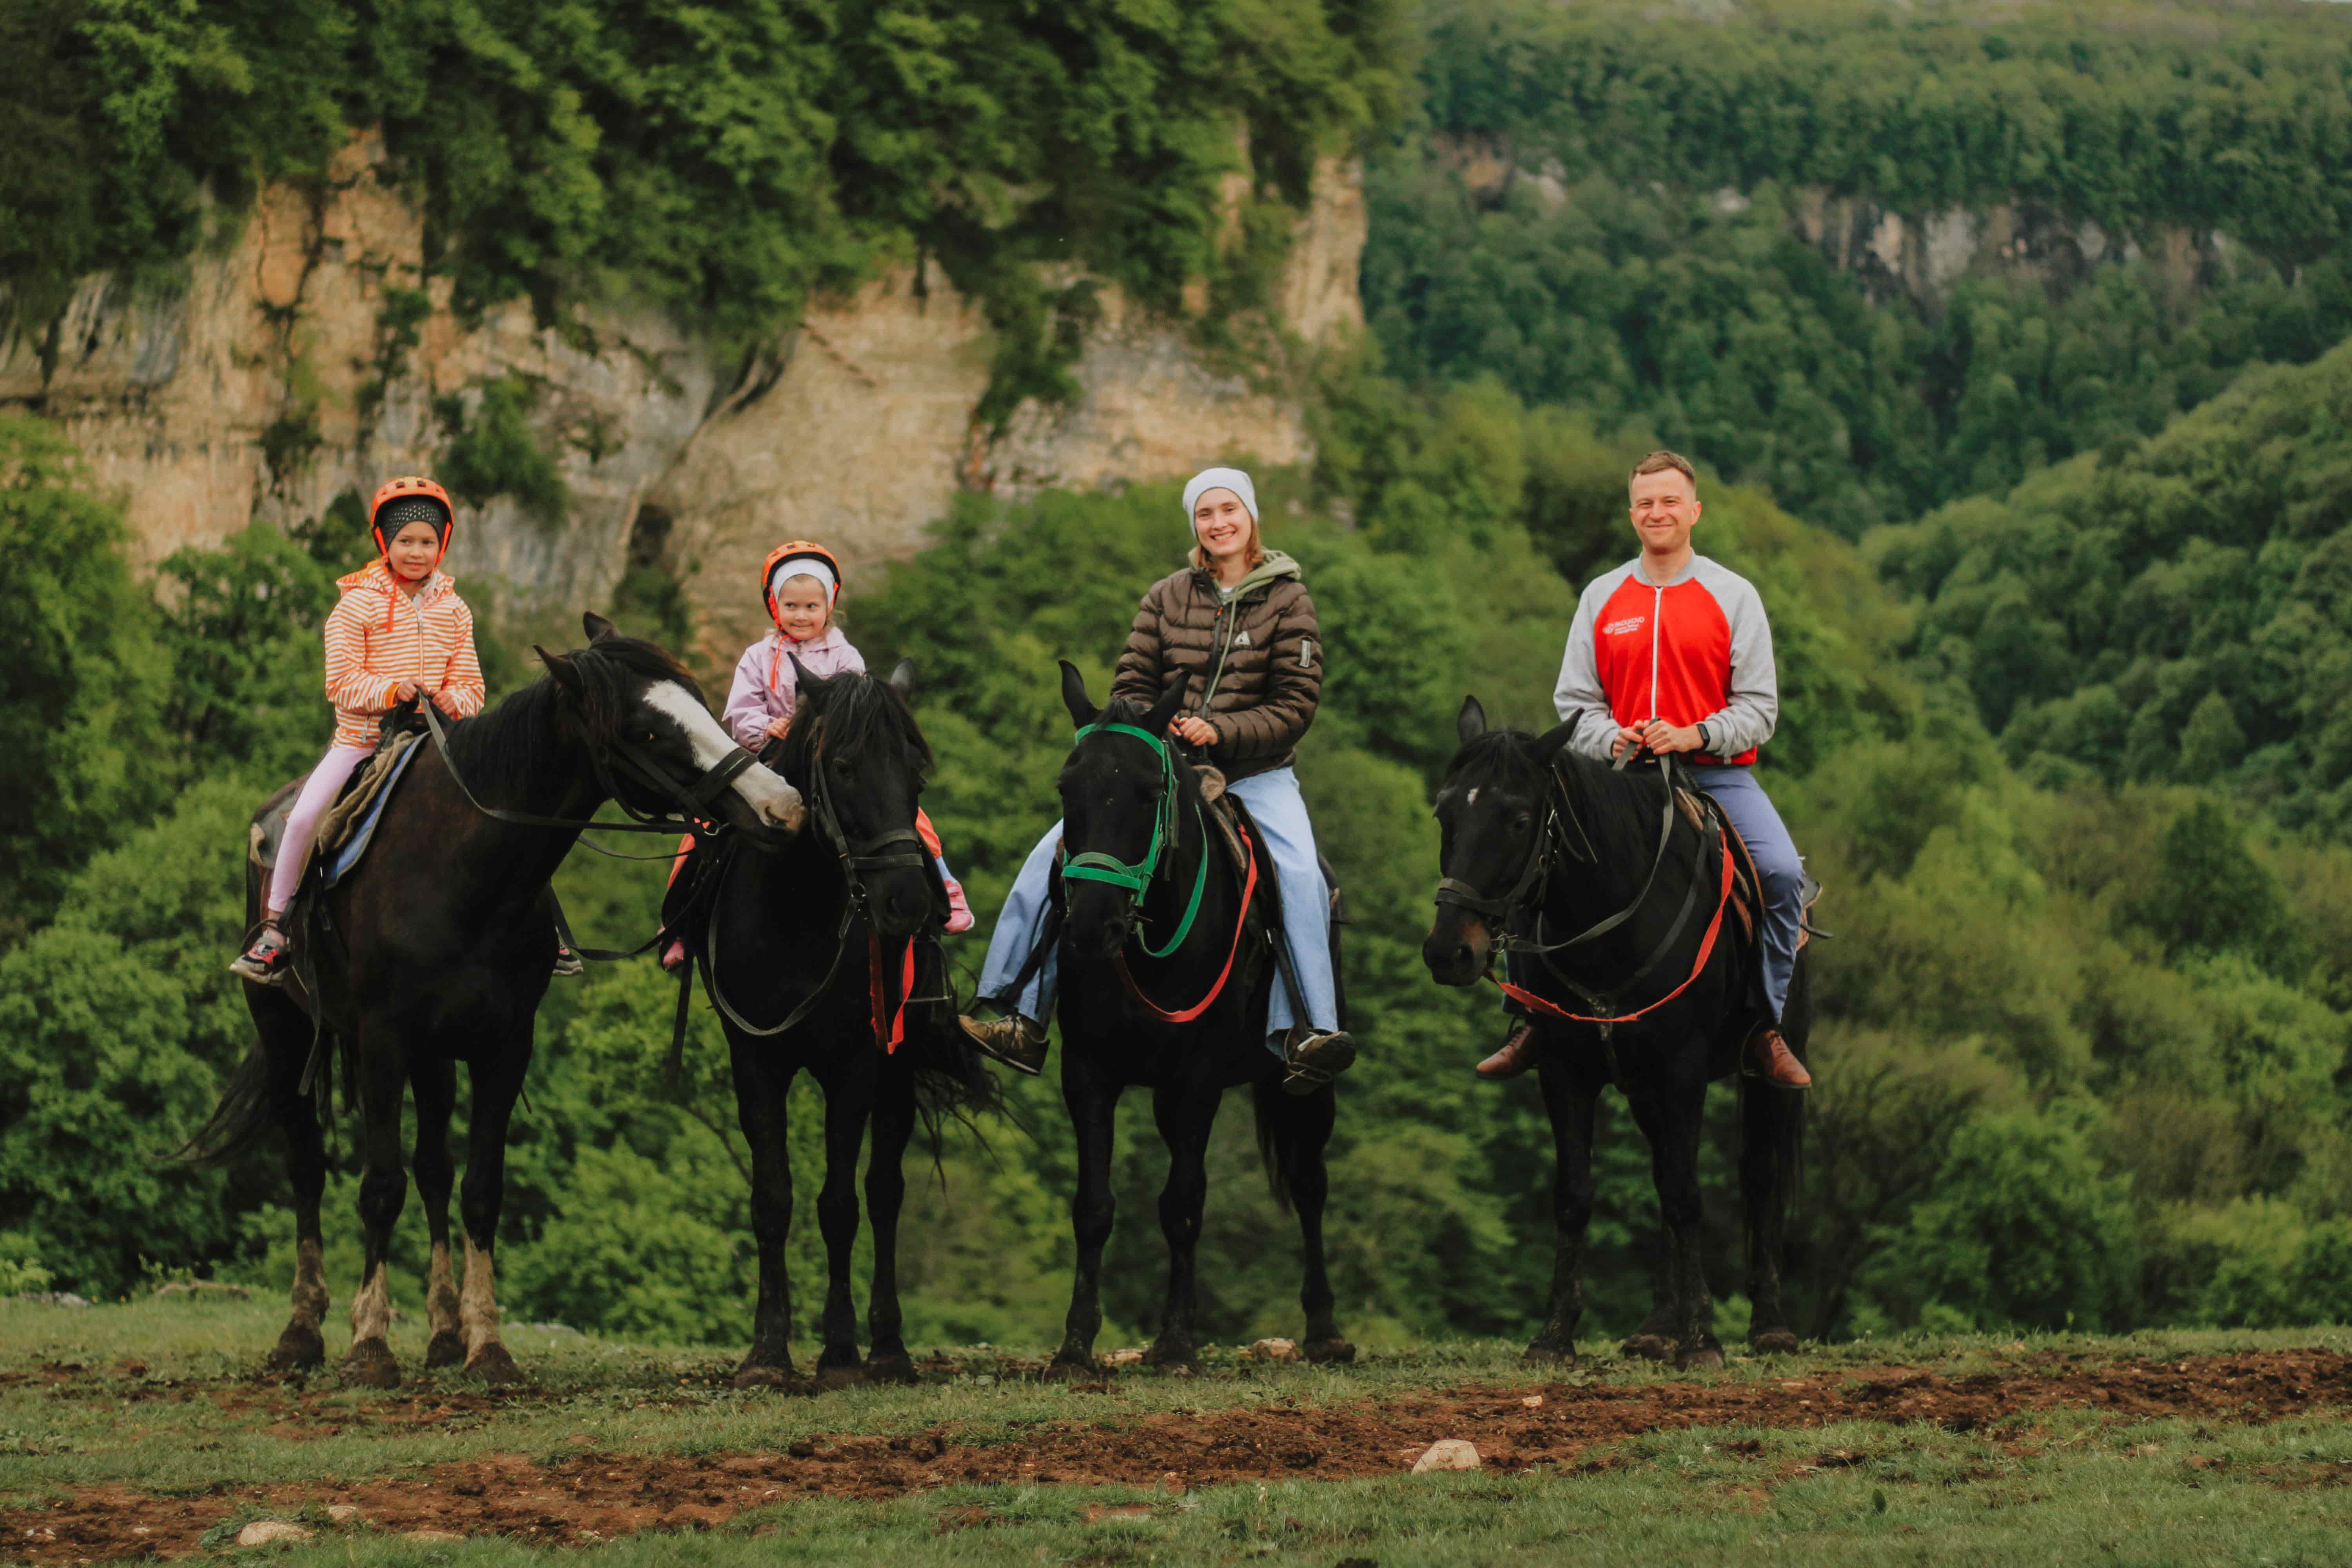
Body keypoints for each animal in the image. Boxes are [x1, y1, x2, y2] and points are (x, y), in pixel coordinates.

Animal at [188, 611, 795, 1382]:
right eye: (649, 730)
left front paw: (486, 1345)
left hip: (434, 1058)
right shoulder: (384, 1044)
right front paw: (370, 1344)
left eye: (698, 701)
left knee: (434, 1173)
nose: (781, 806)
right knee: (307, 1169)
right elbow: (379, 1188)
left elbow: (478, 1190)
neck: (462, 872)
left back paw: (445, 1334)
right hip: (285, 1029)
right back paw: (301, 1332)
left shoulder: (503, 1047)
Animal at [677, 658, 988, 1392]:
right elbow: (772, 1198)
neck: (797, 913)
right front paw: (767, 1352)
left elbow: (842, 1204)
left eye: (917, 776)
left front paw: (842, 1351)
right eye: (844, 768)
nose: (907, 902)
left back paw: (889, 1347)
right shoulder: (754, 1060)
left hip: (898, 1071)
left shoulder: (856, 1065)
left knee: (884, 1193)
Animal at [1044, 668, 1355, 1382]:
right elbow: (1094, 1207)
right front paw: (1076, 1347)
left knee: (1310, 1186)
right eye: (1067, 788)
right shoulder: (1088, 1074)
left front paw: (1180, 1345)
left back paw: (1325, 1331)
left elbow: (1182, 1203)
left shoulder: (1200, 1078)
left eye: (1150, 791)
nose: (1091, 926)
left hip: (1306, 1086)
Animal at [1411, 705, 1797, 1363]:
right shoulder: (1564, 1069)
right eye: (1446, 814)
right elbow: (1577, 1195)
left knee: (1758, 1173)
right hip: (1642, 1088)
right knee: (1663, 1167)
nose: (1448, 953)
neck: (1613, 924)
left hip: (1760, 1072)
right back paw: (1660, 1325)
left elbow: (1686, 1192)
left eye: (1519, 819)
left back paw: (1768, 1322)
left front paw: (1702, 1340)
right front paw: (1555, 1335)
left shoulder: (1683, 1067)